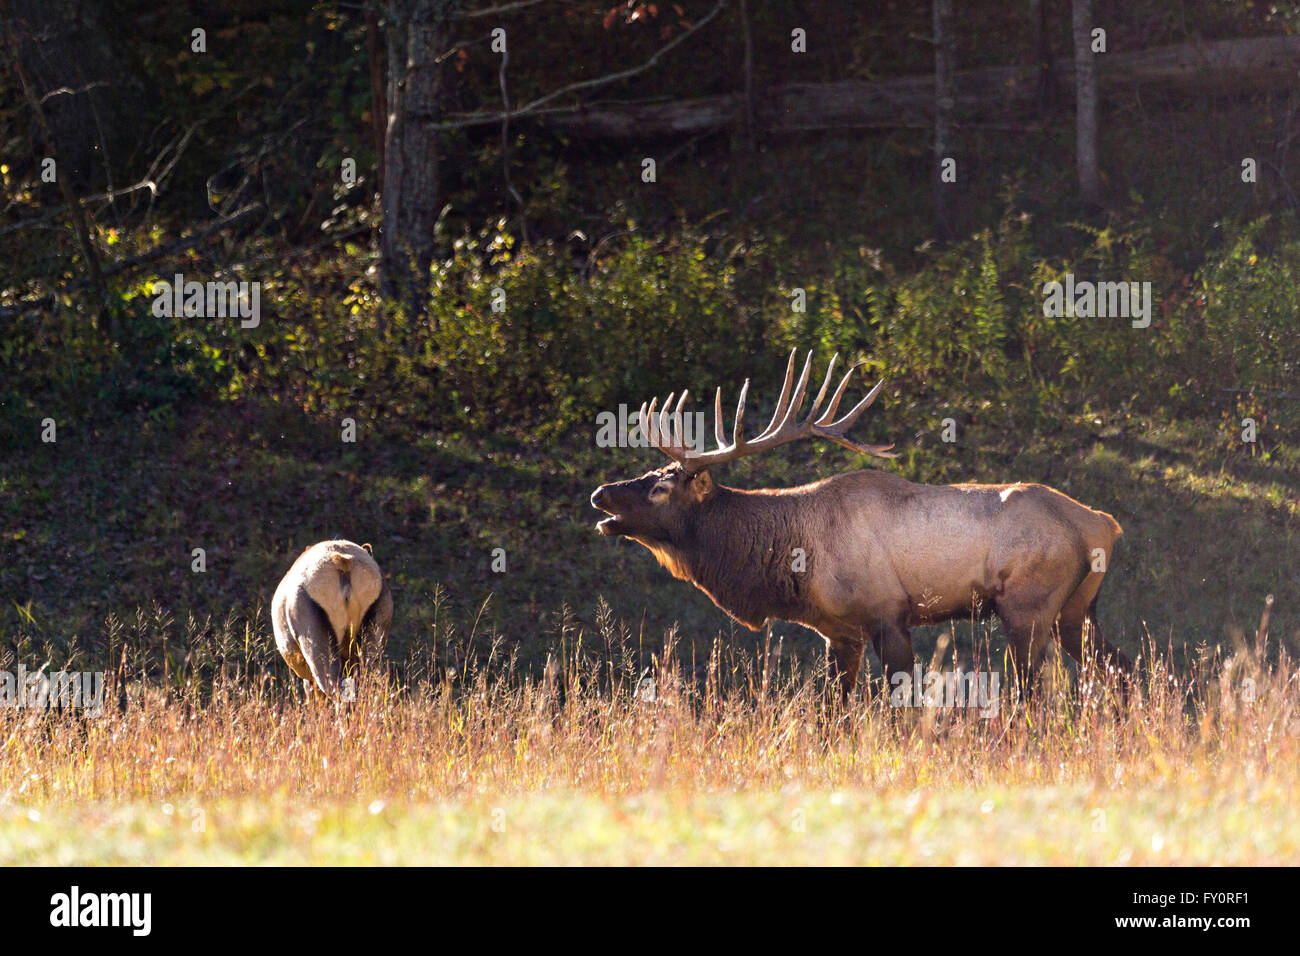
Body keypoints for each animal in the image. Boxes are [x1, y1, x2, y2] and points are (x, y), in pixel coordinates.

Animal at [590, 351, 1133, 703]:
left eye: (661, 488)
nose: (600, 494)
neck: (791, 562)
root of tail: (1104, 525)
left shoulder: (887, 613)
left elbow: (904, 706)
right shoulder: (839, 633)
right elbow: (831, 711)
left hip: (1029, 607)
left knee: (1033, 692)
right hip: (1076, 611)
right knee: (1121, 668)